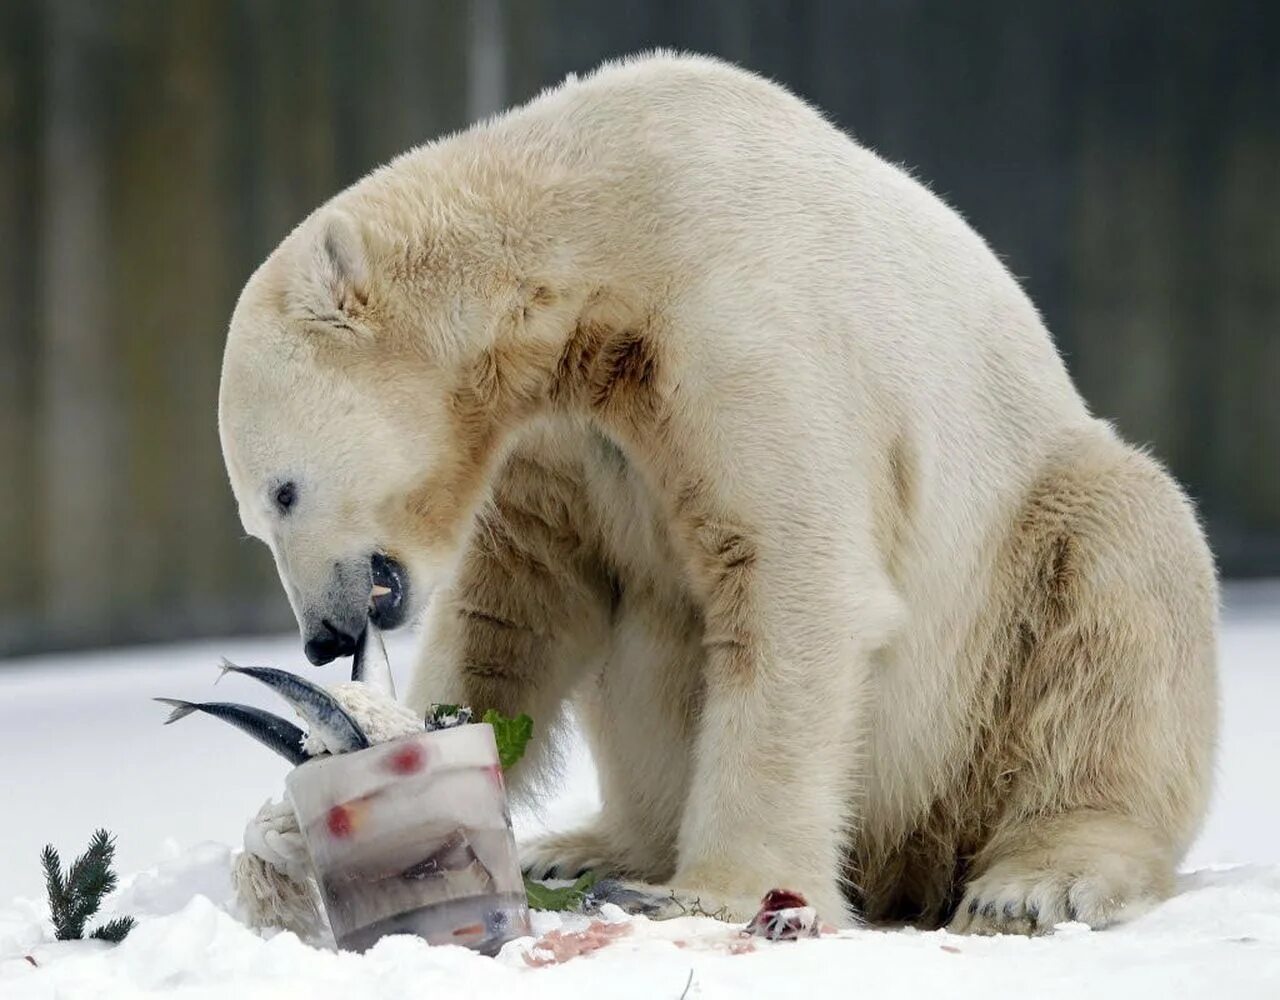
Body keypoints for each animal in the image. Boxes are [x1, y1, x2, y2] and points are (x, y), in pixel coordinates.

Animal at [222, 52, 1218, 927]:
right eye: (255, 519)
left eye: (281, 493)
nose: (323, 637)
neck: (599, 218)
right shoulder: (563, 428)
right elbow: (517, 599)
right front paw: (299, 830)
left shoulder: (744, 325)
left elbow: (793, 578)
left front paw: (724, 894)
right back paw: (581, 848)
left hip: (1008, 600)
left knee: (1120, 585)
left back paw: (1035, 882)